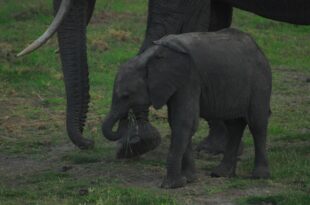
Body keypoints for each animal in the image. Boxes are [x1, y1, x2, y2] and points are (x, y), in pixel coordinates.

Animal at [102, 28, 272, 188]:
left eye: (126, 96)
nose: (126, 117)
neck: (148, 59)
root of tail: (258, 48)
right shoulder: (174, 84)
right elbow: (178, 123)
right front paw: (189, 179)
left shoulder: (189, 79)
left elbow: (184, 122)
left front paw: (172, 185)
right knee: (234, 126)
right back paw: (220, 174)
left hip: (260, 81)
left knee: (257, 124)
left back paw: (259, 176)